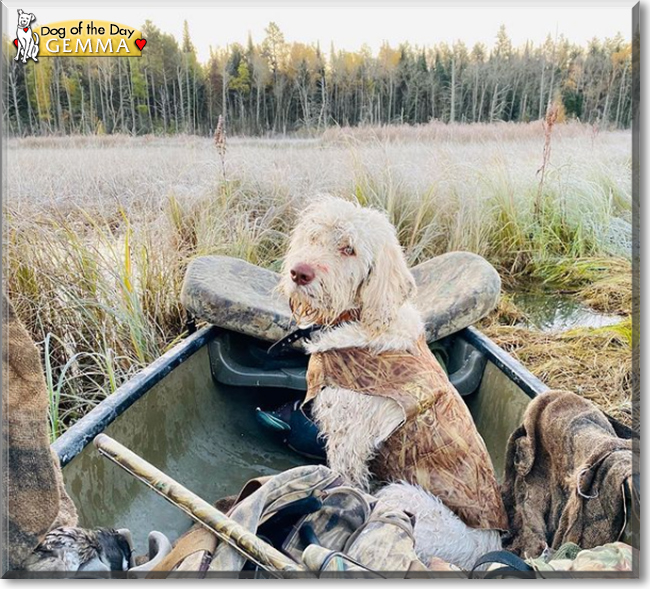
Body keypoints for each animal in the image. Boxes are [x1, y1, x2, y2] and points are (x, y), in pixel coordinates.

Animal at [278, 198, 502, 568]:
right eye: (313, 237)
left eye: (349, 249)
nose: (300, 273)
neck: (359, 321)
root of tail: (487, 551)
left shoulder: (348, 443)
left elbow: (345, 481)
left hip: (399, 495)